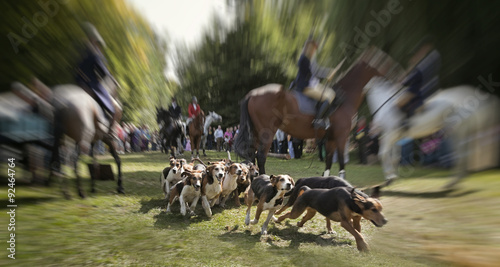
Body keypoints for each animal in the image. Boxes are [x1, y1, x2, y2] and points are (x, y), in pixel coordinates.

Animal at [236, 51, 384, 177]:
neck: (345, 99)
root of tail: (252, 94)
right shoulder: (342, 136)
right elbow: (341, 162)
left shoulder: (331, 139)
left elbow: (328, 162)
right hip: (267, 131)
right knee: (260, 156)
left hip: (256, 131)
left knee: (252, 155)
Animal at [364, 75, 500, 185]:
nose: (371, 130)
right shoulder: (396, 138)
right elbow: (394, 157)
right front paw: (394, 176)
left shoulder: (390, 135)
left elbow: (383, 154)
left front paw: (389, 177)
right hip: (463, 130)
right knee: (465, 153)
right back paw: (455, 181)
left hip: (459, 130)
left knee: (462, 153)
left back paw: (453, 182)